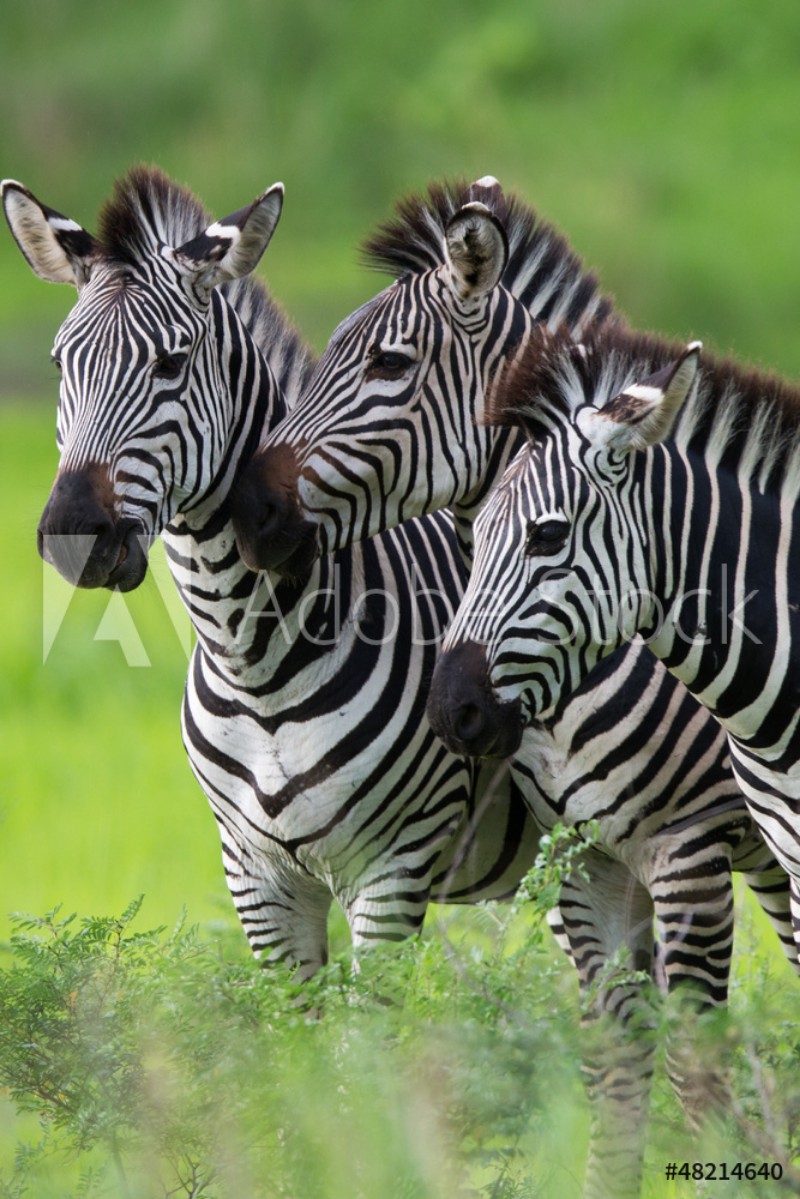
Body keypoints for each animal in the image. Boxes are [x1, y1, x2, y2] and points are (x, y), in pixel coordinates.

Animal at [1, 167, 545, 985]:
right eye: (64, 364)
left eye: (171, 364)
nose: (71, 534)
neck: (252, 658)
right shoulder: (256, 880)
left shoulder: (392, 870)